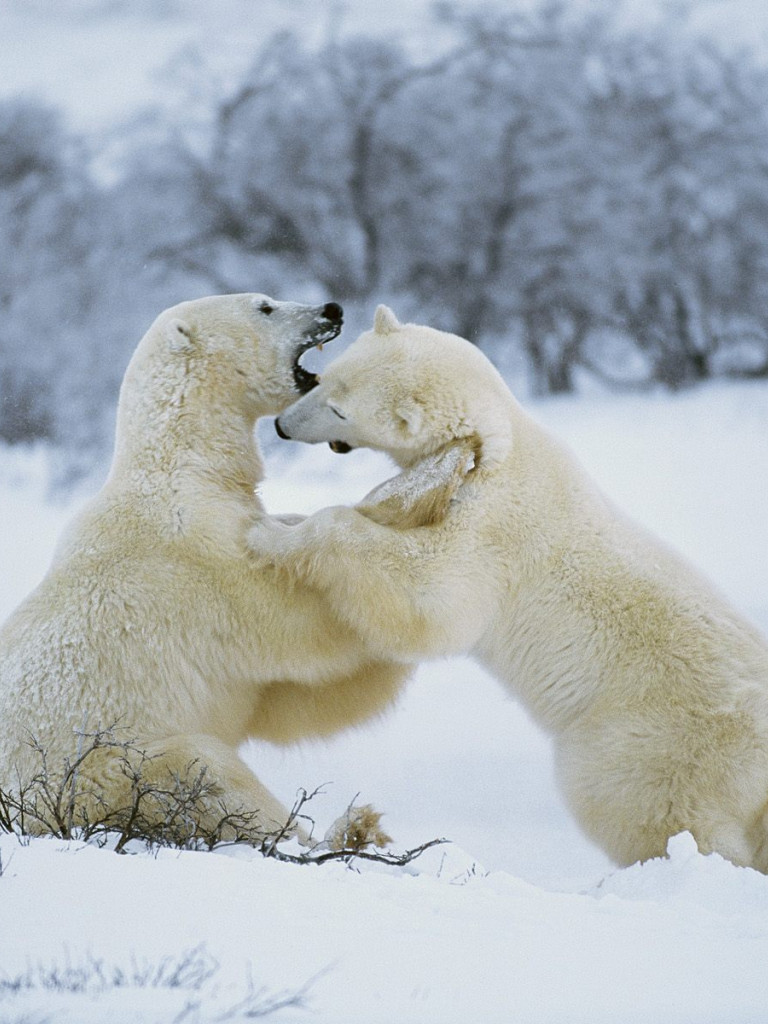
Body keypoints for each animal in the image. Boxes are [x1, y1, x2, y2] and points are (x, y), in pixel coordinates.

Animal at [253, 303, 768, 872]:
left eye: (340, 410)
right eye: (323, 379)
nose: (281, 426)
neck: (500, 443)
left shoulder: (492, 530)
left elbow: (430, 596)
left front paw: (272, 536)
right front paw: (280, 519)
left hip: (648, 743)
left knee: (646, 809)